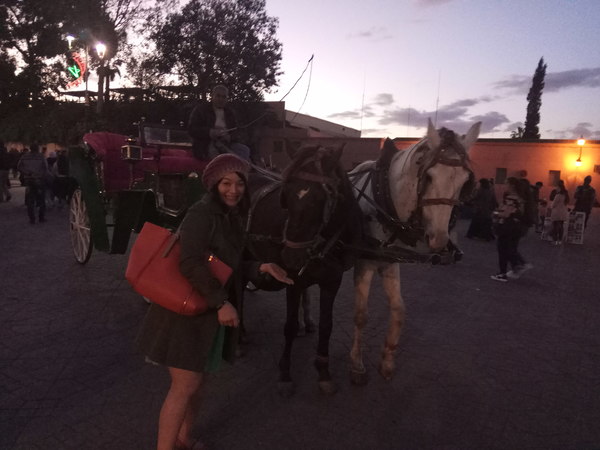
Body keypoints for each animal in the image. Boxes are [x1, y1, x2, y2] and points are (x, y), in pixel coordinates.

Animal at [246, 143, 360, 397]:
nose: (291, 256)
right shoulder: (292, 280)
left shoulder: (332, 281)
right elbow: (289, 326)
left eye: (321, 199)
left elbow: (327, 326)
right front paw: (285, 374)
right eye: (285, 196)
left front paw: (324, 371)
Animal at [348, 119, 481, 385]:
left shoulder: (389, 260)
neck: (382, 199)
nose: (439, 240)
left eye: (464, 182)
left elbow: (399, 310)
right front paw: (357, 365)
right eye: (428, 176)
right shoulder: (364, 261)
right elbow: (361, 314)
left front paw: (387, 361)